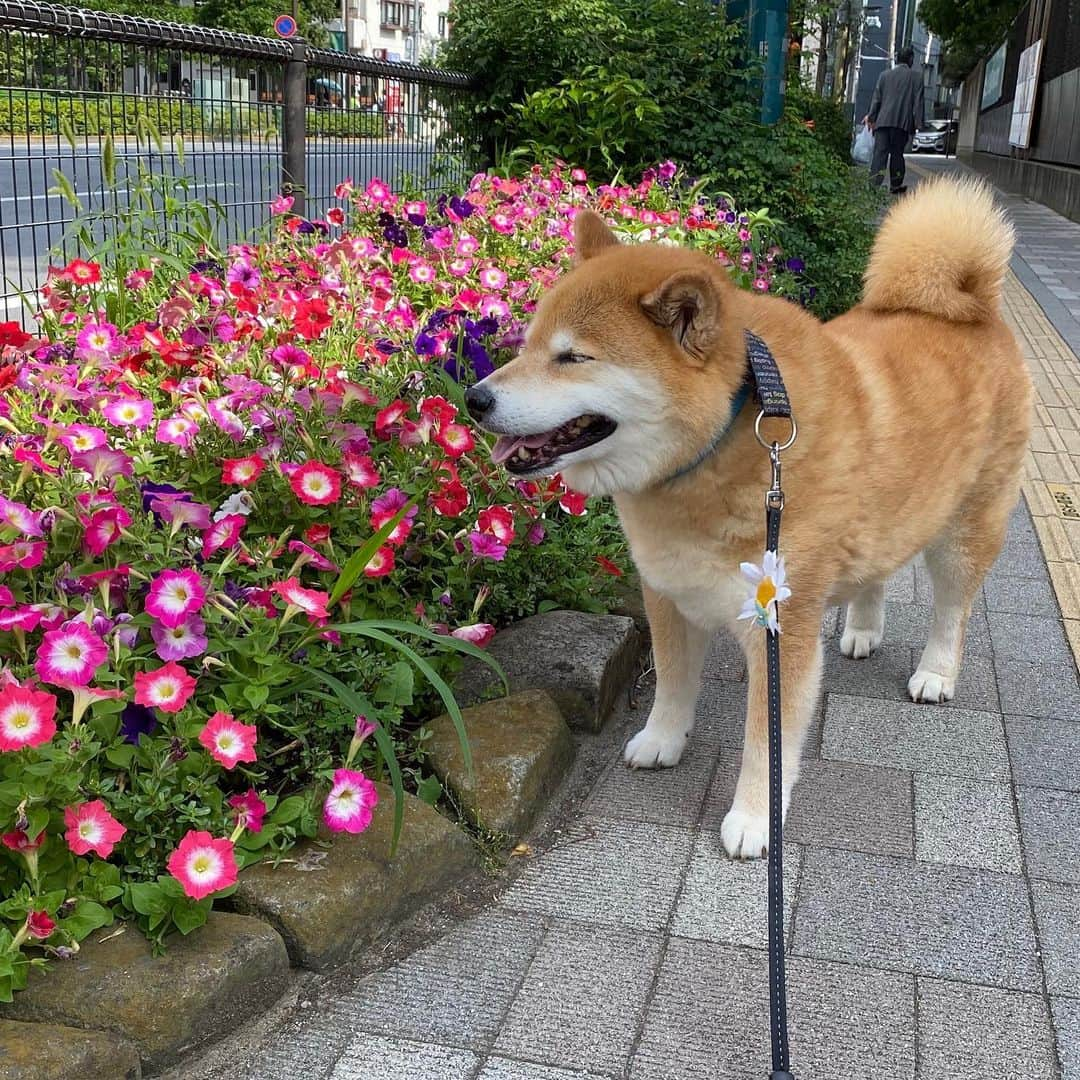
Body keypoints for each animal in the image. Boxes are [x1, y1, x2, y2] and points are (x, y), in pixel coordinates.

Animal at [468, 179, 1032, 859]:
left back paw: (935, 673)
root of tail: (976, 307)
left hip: (965, 531)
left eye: (573, 358)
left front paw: (754, 820)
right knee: (877, 570)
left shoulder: (781, 630)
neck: (717, 447)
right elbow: (672, 682)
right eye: (526, 345)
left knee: (952, 609)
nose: (474, 398)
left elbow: (768, 741)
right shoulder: (667, 592)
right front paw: (662, 740)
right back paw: (862, 629)